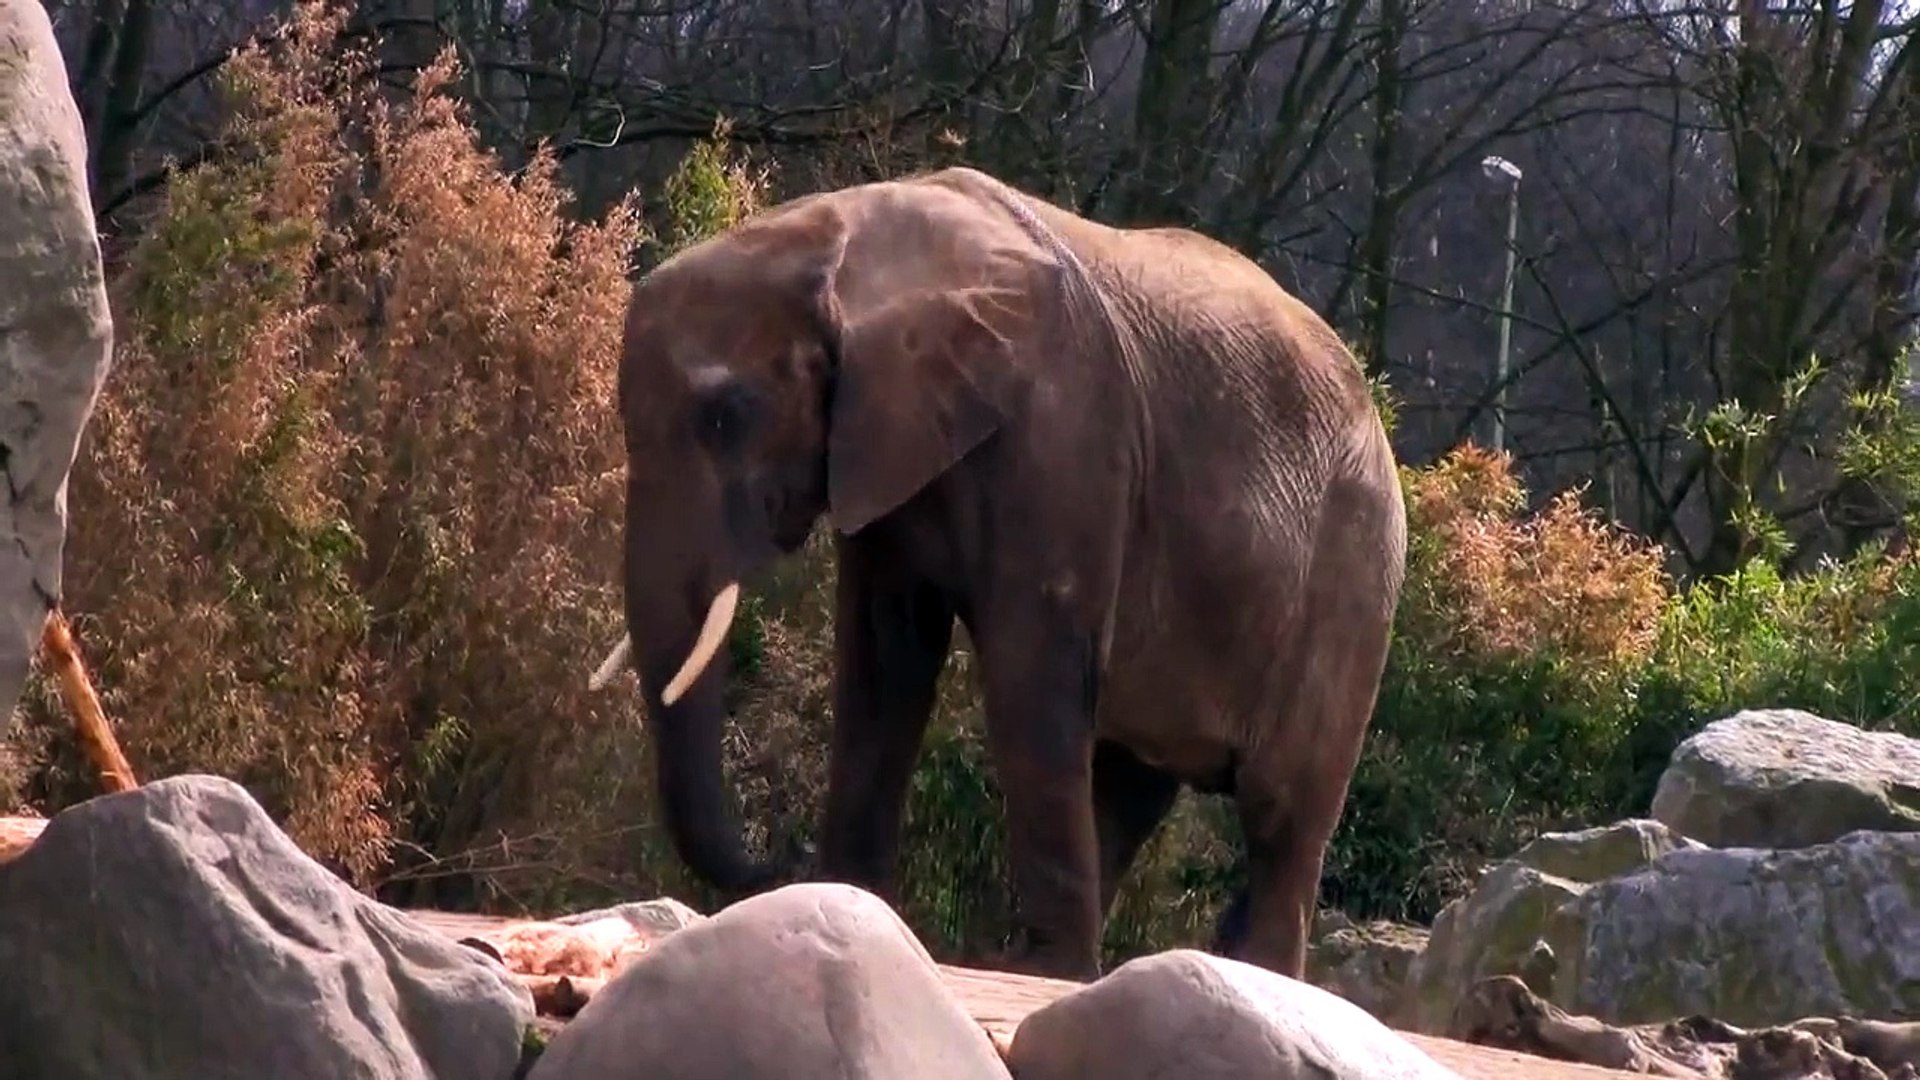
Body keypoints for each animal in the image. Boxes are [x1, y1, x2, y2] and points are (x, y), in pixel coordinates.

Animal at [586, 165, 1408, 982]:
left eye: (728, 414)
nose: (771, 864)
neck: (839, 239)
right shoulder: (890, 449)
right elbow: (885, 662)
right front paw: (853, 906)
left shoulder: (1063, 439)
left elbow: (1026, 669)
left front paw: (1046, 969)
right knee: (1131, 782)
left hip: (1350, 581)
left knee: (1280, 812)